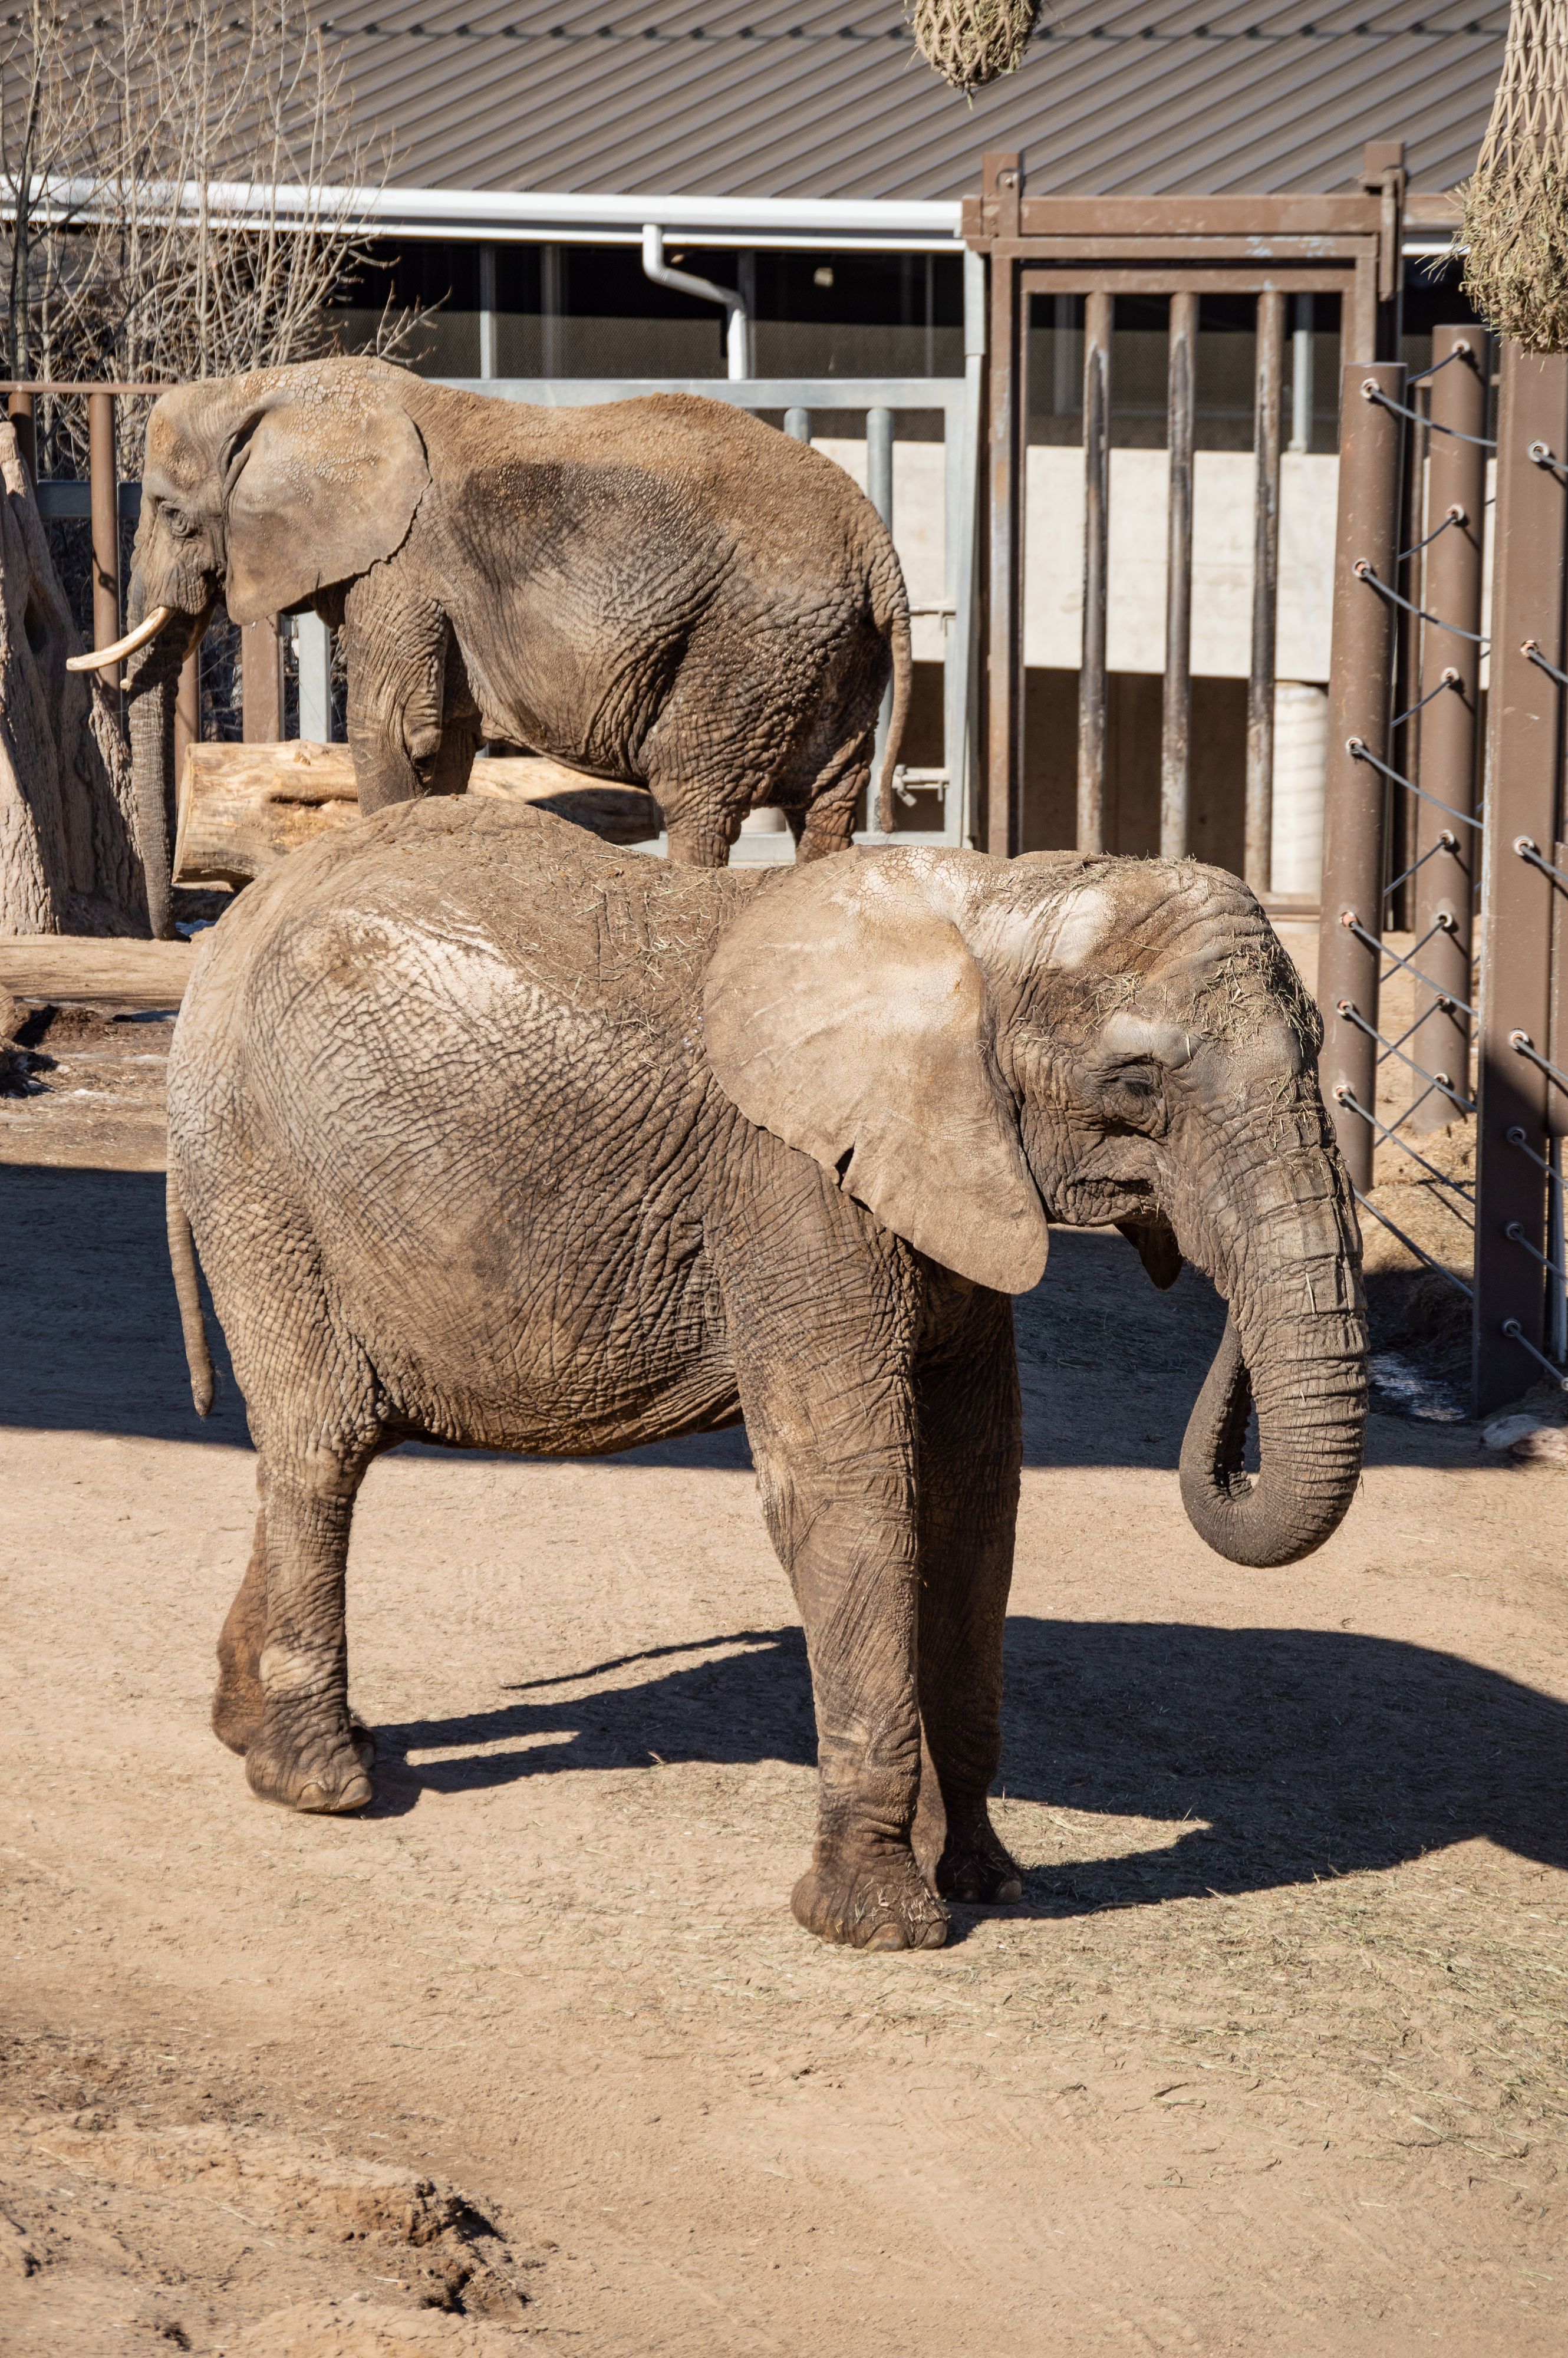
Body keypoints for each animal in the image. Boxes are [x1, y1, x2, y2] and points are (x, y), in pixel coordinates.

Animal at [71, 356, 911, 936]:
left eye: (172, 515)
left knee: (694, 793)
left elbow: (390, 728)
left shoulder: (399, 566)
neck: (277, 389)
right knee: (826, 800)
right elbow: (442, 741)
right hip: (832, 647)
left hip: (751, 637)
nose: (172, 932)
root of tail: (878, 548)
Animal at [164, 806, 1366, 1952]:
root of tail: (228, 931)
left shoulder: (949, 1184)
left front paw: (988, 1879)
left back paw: (254, 1732)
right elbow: (850, 1493)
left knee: (334, 1439)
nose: (1195, 1269)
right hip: (258, 1169)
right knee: (323, 1442)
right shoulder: (789, 1182)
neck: (992, 910)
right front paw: (879, 1925)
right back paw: (321, 1783)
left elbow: (977, 1497)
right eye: (1139, 1083)